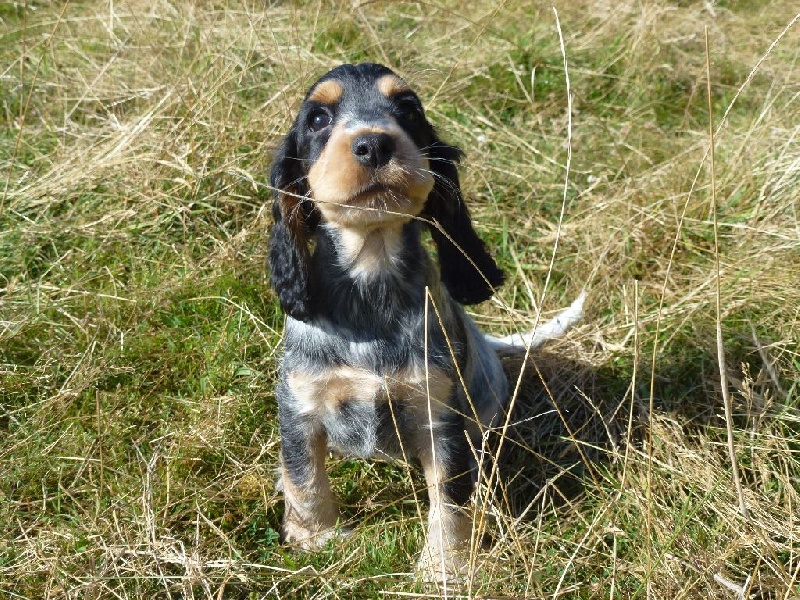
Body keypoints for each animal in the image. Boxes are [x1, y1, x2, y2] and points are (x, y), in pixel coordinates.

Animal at [267, 62, 583, 579]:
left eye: (408, 109)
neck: (372, 287)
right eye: (317, 118)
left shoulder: (440, 418)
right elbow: (304, 478)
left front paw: (444, 567)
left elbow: (449, 500)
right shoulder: (300, 407)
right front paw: (315, 540)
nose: (374, 144)